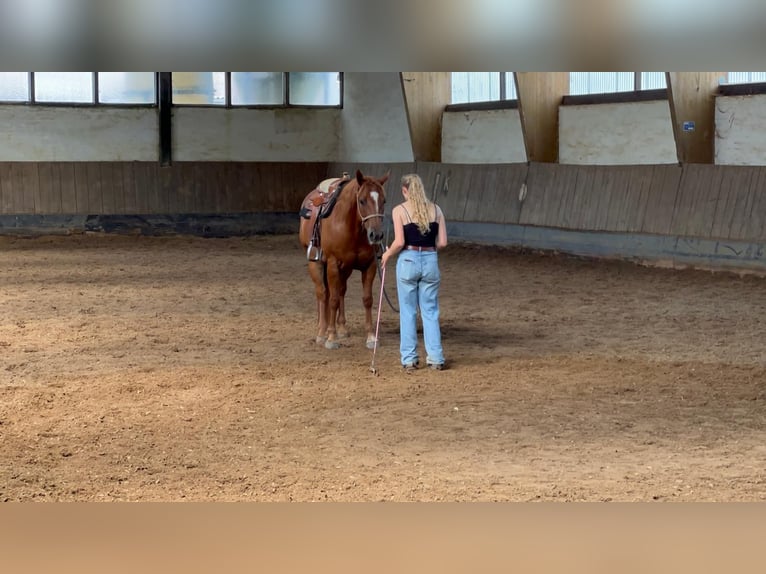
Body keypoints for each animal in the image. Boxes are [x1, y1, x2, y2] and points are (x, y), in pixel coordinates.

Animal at [300, 170, 390, 352]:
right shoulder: (333, 265)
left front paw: (371, 337)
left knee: (340, 291)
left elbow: (367, 299)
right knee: (322, 293)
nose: (376, 235)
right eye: (362, 200)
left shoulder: (369, 266)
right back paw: (322, 331)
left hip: (345, 269)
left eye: (383, 201)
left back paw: (340, 328)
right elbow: (332, 300)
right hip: (317, 264)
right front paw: (331, 338)